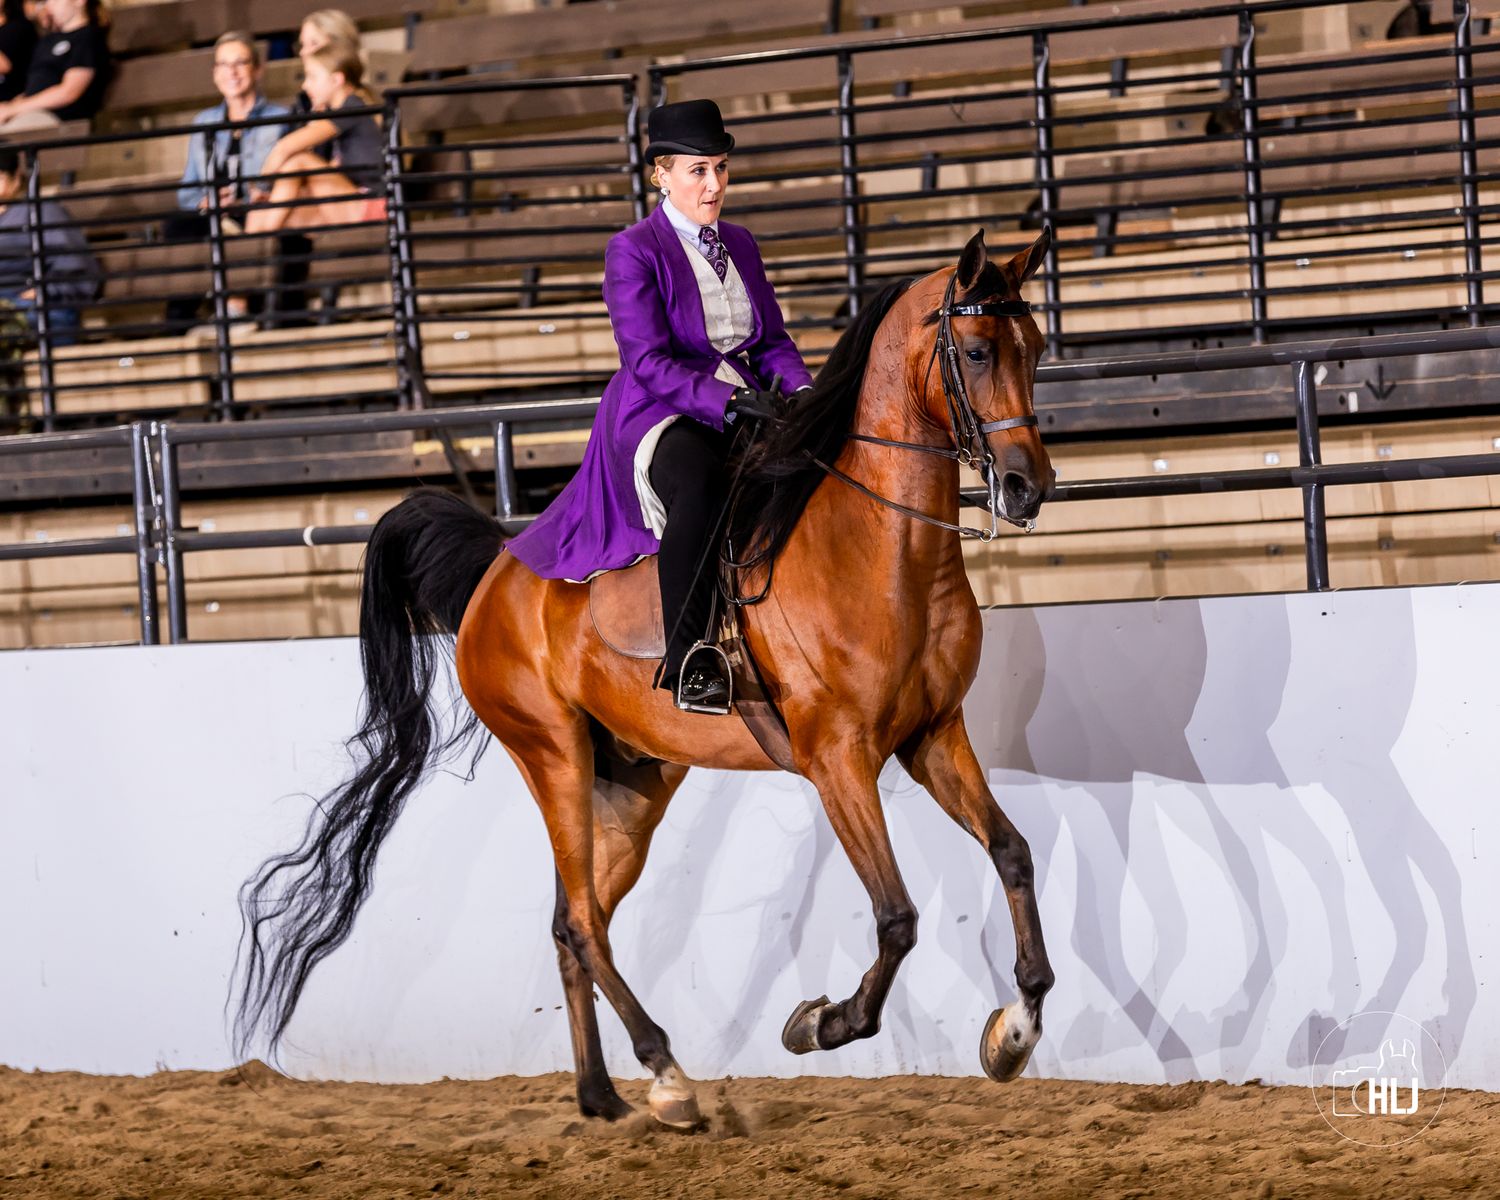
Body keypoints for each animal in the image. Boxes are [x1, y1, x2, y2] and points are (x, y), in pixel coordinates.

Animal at [235, 226, 1057, 1130]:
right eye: (976, 352)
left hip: (631, 785)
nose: (1030, 487)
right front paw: (820, 1024)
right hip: (553, 756)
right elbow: (899, 918)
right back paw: (666, 1074)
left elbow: (1013, 853)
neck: (880, 550)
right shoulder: (838, 760)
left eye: (1035, 348)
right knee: (584, 923)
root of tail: (498, 570)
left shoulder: (933, 735)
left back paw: (601, 1094)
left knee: (572, 920)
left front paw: (1014, 1031)